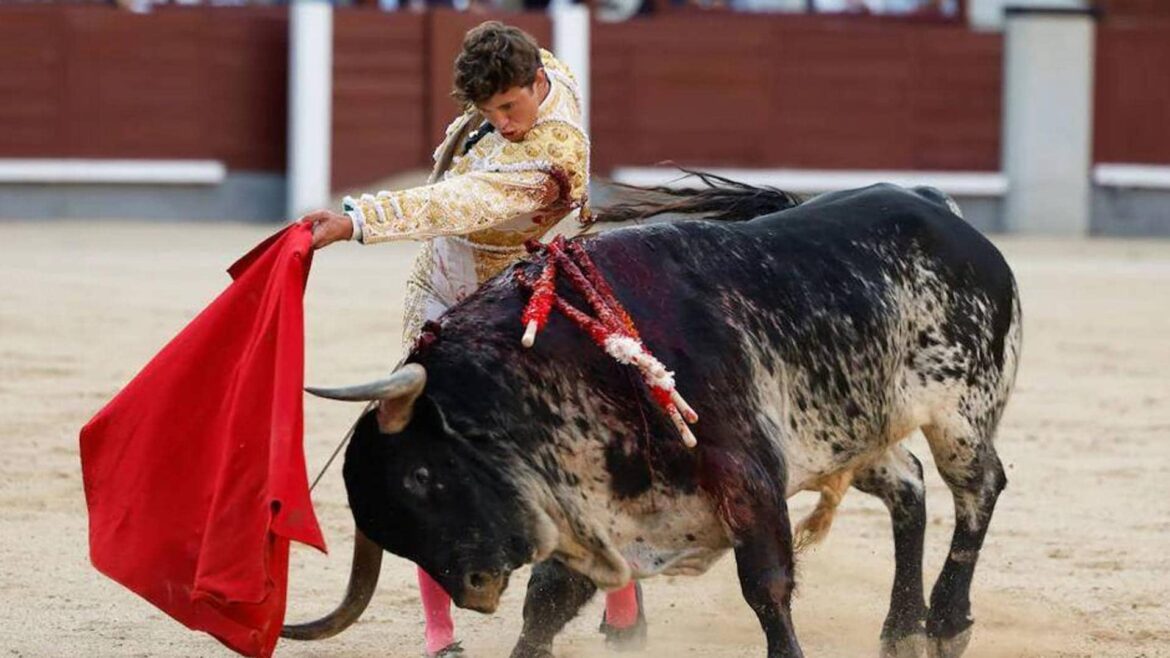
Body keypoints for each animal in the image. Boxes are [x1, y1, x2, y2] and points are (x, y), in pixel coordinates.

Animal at [283, 175, 1024, 655]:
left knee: (979, 488)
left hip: (961, 413)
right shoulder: (598, 515)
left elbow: (767, 588)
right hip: (853, 431)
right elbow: (546, 604)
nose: (474, 589)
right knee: (910, 486)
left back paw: (947, 623)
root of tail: (935, 204)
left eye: (420, 478)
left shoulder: (747, 478)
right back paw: (902, 630)